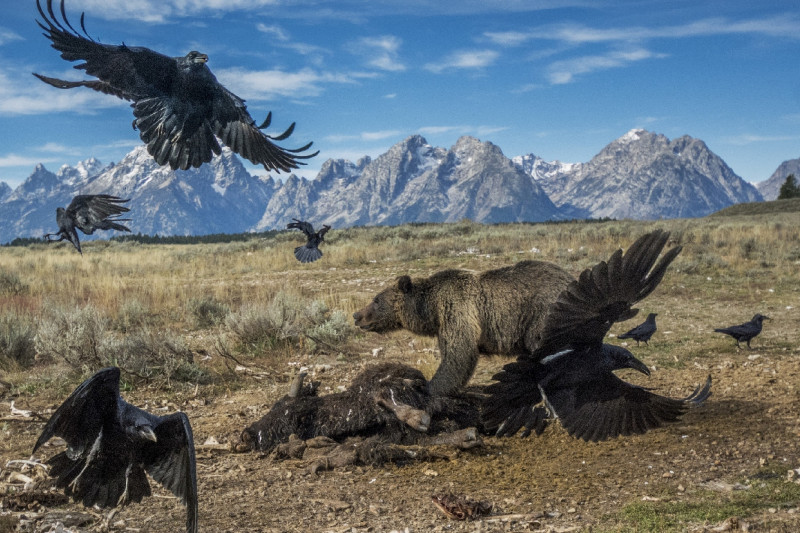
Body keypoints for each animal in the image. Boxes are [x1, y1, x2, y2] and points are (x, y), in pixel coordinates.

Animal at [352, 260, 574, 396]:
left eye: (376, 300)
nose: (356, 316)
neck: (430, 308)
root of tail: (571, 279)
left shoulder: (456, 310)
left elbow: (458, 353)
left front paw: (428, 386)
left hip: (542, 313)